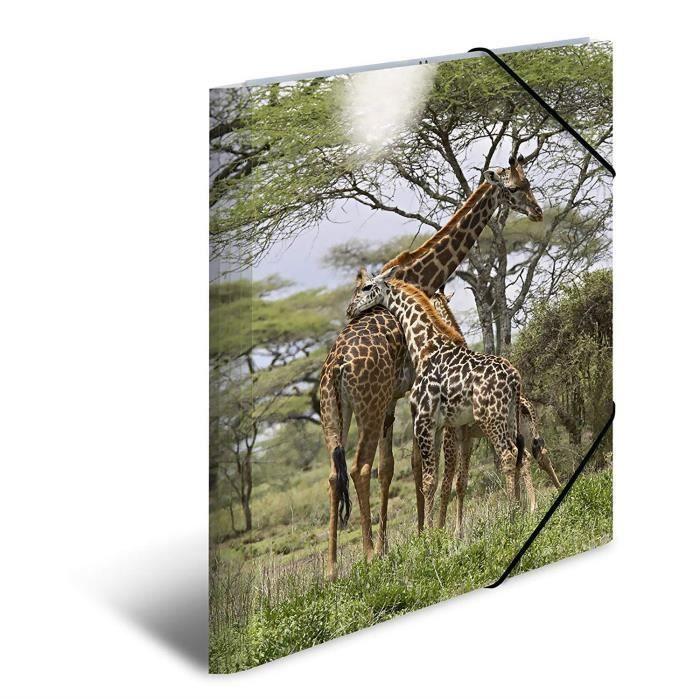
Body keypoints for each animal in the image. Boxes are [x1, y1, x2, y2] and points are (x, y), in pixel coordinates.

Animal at [346, 269, 530, 524]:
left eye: (366, 287)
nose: (350, 309)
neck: (425, 346)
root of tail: (515, 377)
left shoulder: (424, 422)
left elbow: (430, 480)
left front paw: (431, 531)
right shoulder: (441, 426)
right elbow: (440, 480)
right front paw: (438, 529)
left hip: (490, 418)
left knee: (508, 455)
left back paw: (513, 515)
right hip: (510, 417)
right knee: (522, 454)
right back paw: (523, 510)